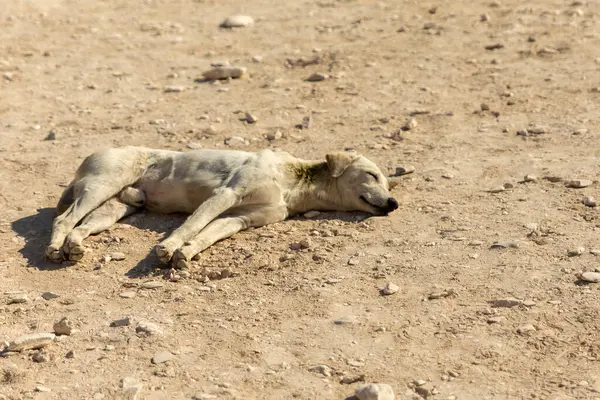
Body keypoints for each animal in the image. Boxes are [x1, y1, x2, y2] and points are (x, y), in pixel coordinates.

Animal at [45, 145, 398, 268]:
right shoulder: (225, 194)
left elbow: (205, 235)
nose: (394, 203)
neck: (295, 181)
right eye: (371, 175)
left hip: (114, 209)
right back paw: (53, 248)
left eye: (388, 184)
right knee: (64, 219)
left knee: (81, 226)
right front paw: (168, 247)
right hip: (101, 186)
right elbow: (190, 225)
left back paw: (73, 246)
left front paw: (185, 253)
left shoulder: (238, 218)